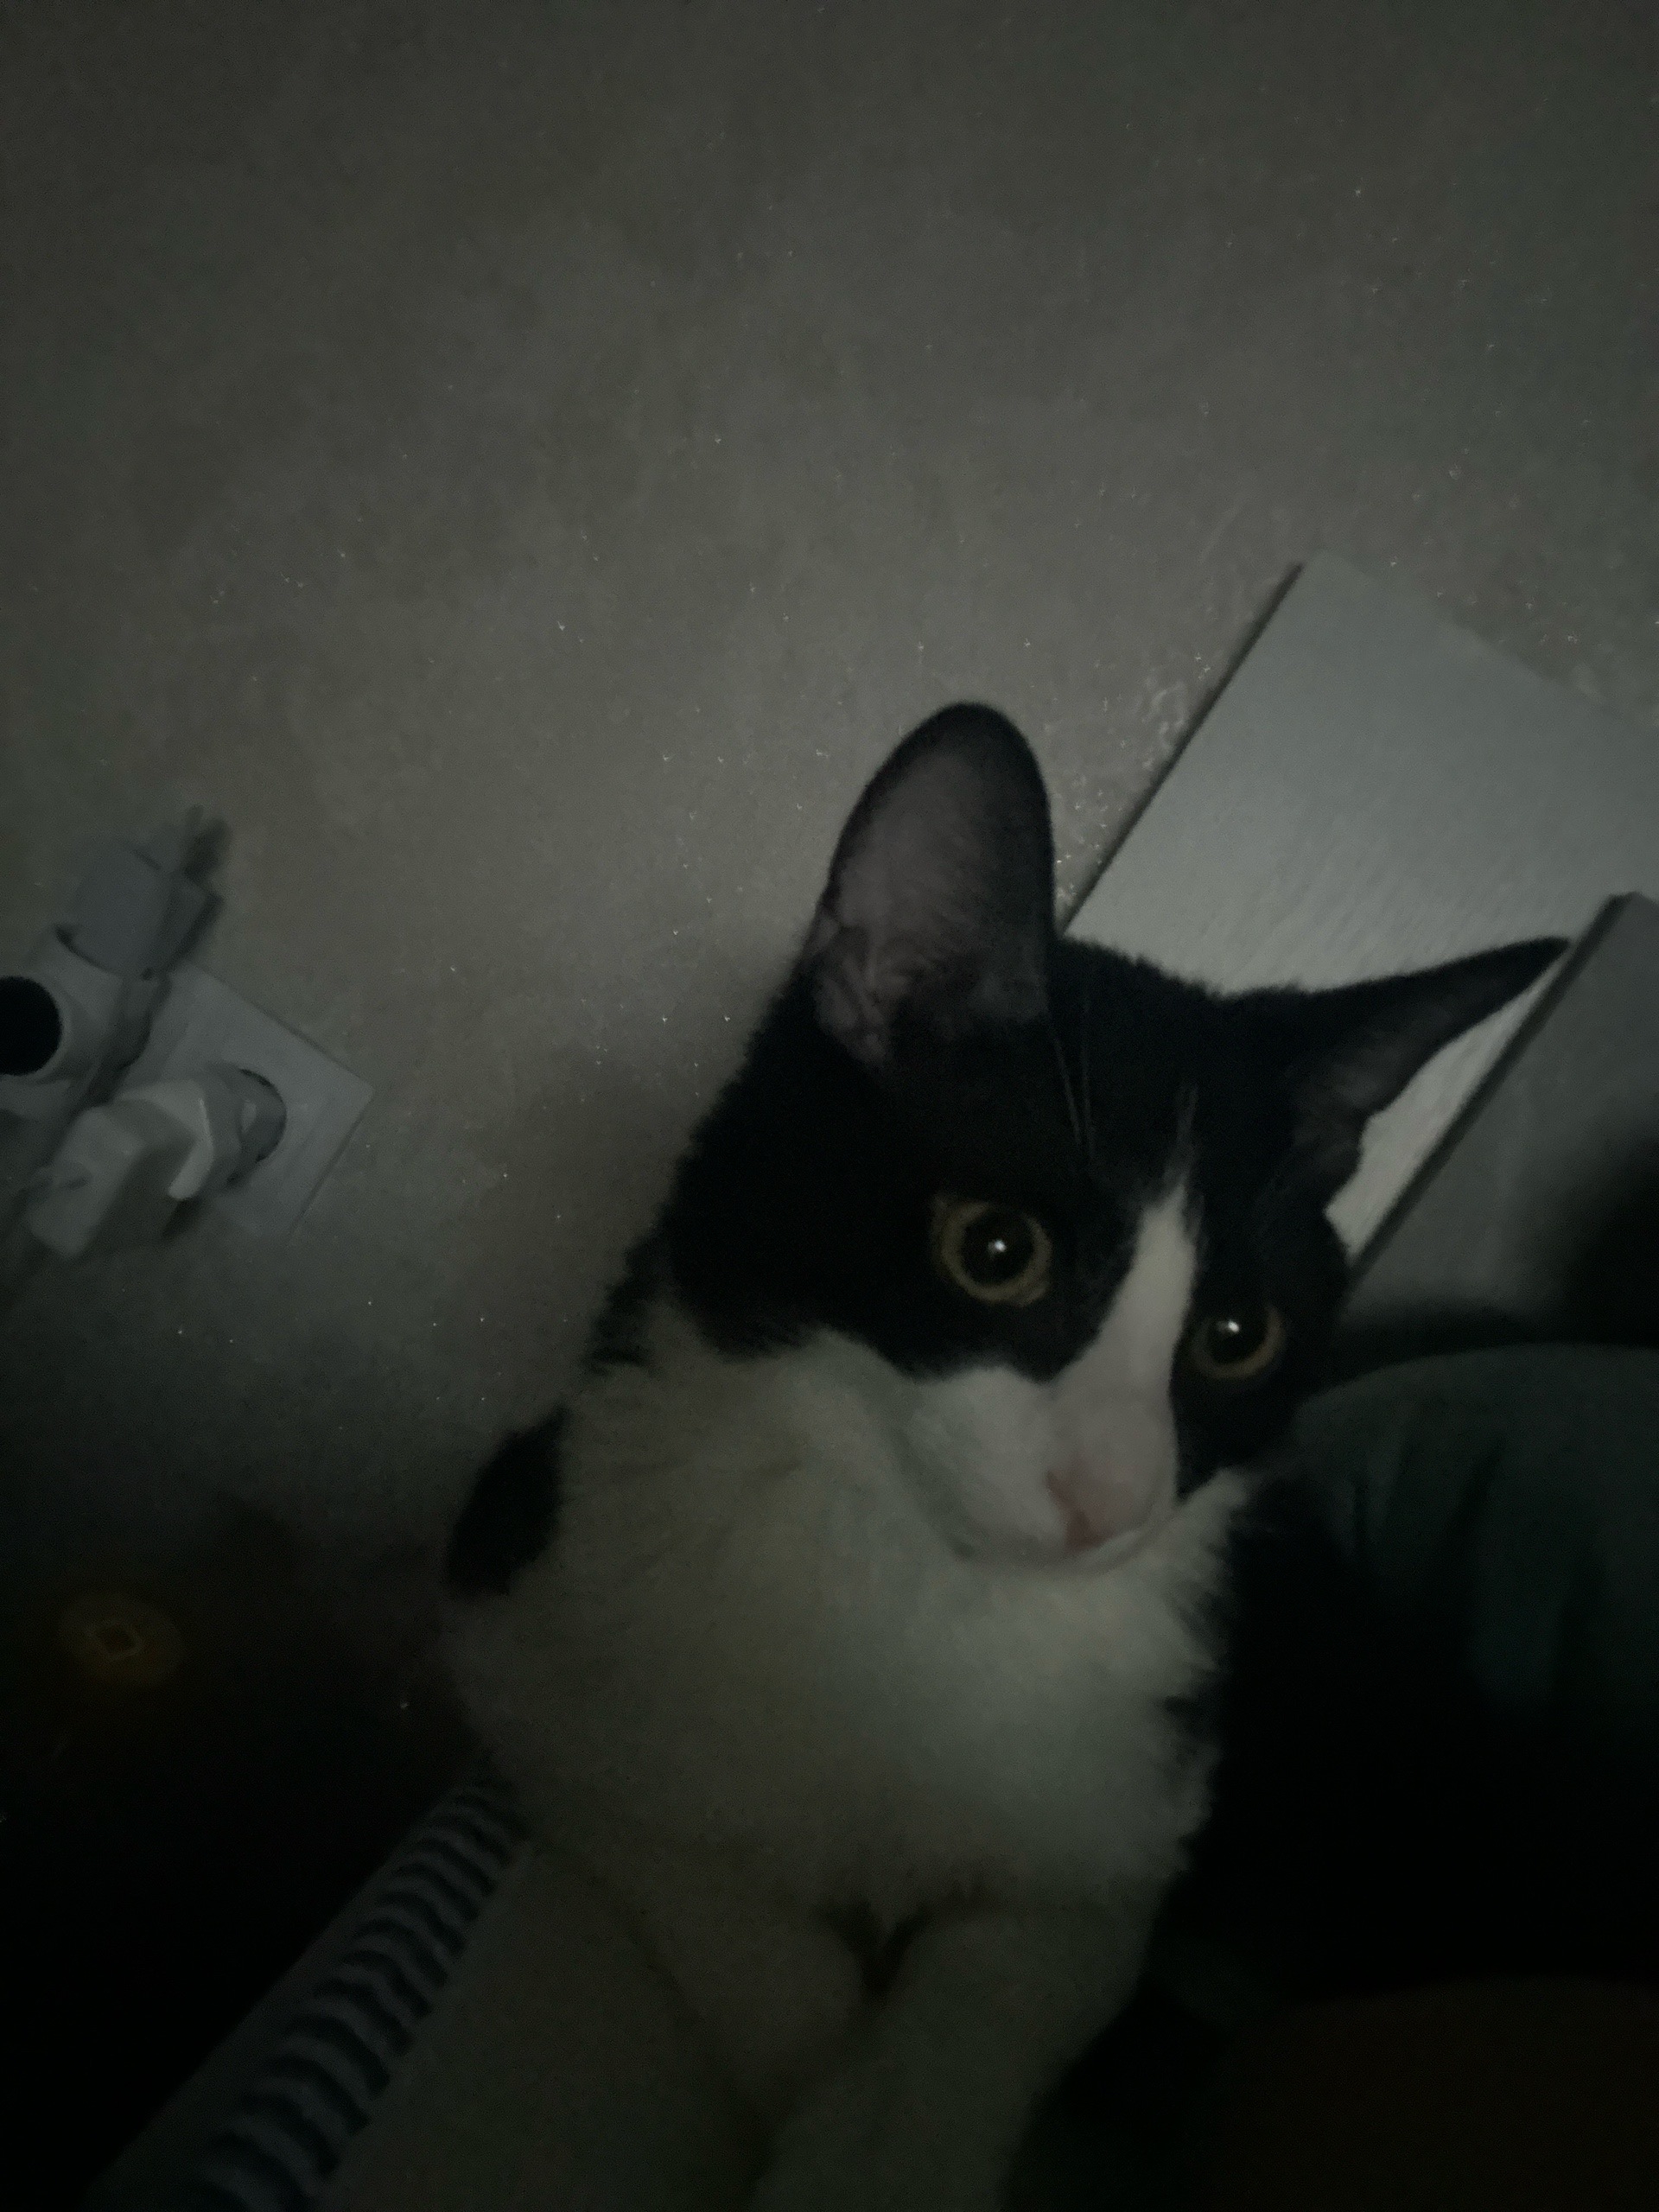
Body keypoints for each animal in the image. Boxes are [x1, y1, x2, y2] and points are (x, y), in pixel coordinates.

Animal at [444, 704, 1560, 2212]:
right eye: (993, 1249)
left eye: (1235, 1336)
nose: (1111, 1500)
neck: (918, 1588)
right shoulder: (516, 1592)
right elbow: (680, 1853)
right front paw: (819, 2081)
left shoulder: (1145, 1798)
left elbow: (1014, 1967)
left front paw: (885, 2148)